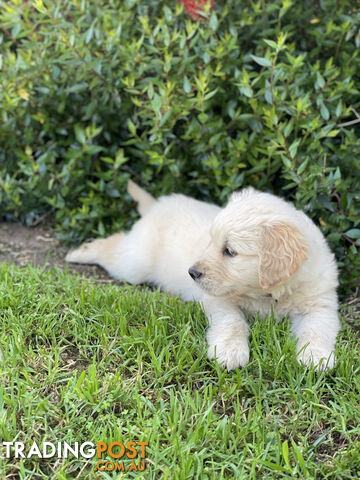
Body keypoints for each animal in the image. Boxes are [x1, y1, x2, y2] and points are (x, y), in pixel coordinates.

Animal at [66, 181, 338, 372]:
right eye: (211, 241)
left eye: (229, 251)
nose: (192, 273)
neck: (268, 292)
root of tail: (157, 205)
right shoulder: (219, 300)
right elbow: (233, 322)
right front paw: (229, 351)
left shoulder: (321, 304)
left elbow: (318, 329)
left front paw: (316, 357)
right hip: (135, 263)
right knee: (113, 247)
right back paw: (81, 252)